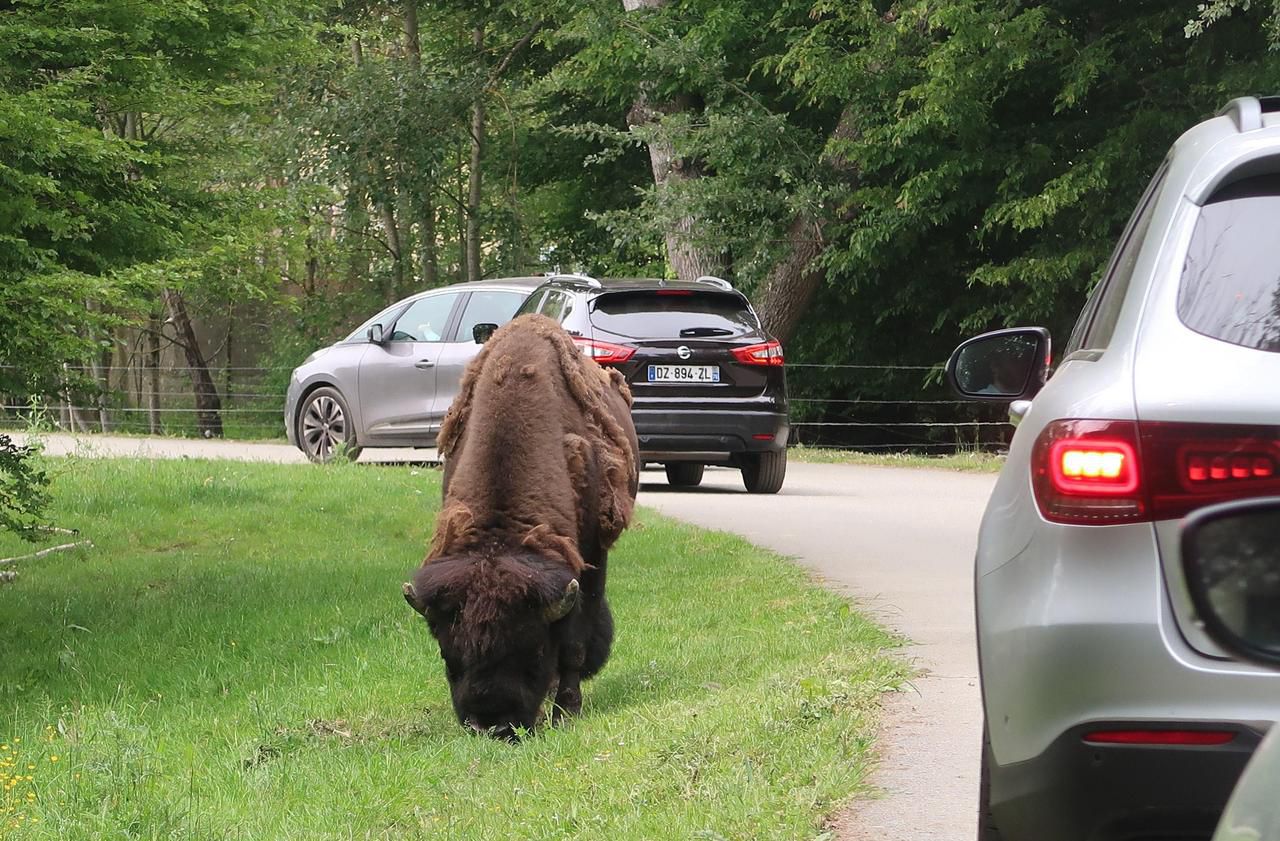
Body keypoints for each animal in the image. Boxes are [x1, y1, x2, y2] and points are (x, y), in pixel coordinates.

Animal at [401, 313, 637, 737]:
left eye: (534, 649)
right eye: (447, 653)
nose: (490, 724)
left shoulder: (586, 563)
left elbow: (574, 643)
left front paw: (566, 711)